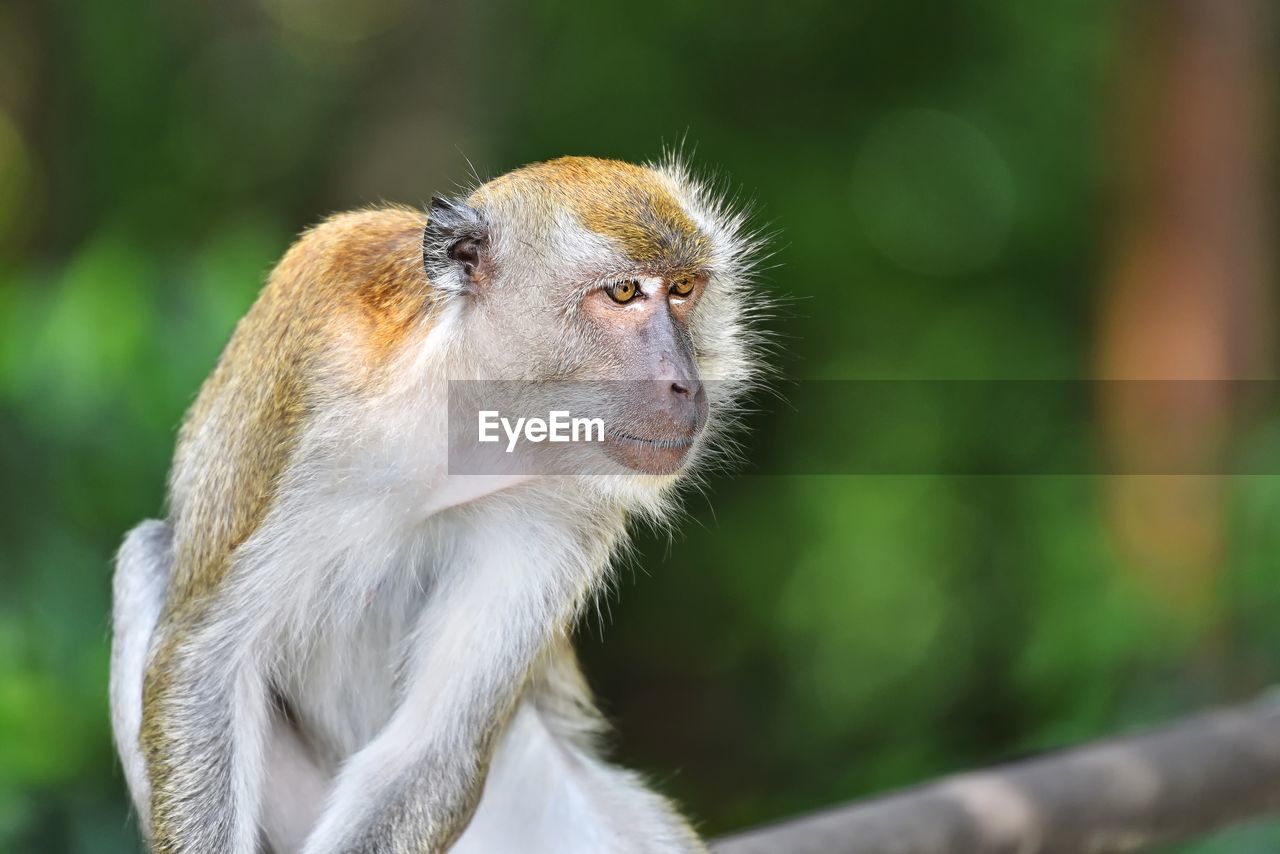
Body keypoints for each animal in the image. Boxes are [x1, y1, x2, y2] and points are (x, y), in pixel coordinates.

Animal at [110, 156, 762, 850]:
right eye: (623, 293)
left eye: (684, 288)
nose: (685, 383)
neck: (466, 422)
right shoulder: (318, 421)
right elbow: (205, 661)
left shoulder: (566, 504)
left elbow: (428, 751)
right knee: (149, 556)